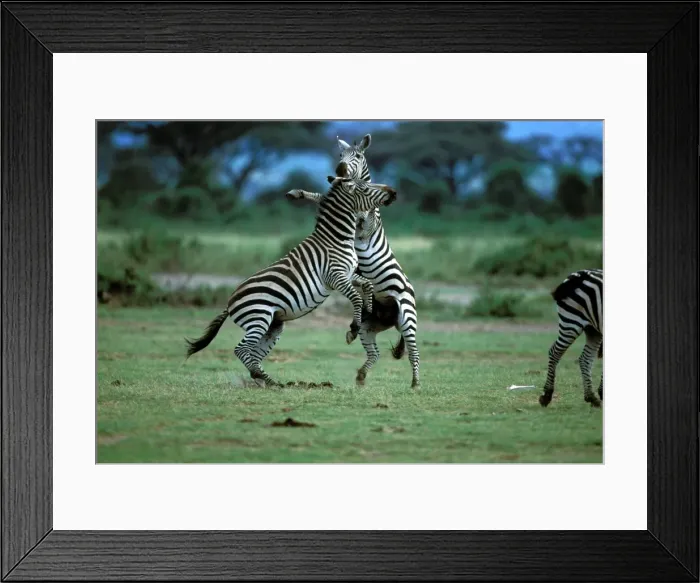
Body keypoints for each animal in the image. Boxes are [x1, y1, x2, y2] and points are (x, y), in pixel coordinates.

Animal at [184, 162, 397, 387]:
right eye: (365, 188)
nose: (394, 192)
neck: (337, 239)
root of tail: (229, 302)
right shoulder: (335, 276)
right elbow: (356, 297)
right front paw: (354, 329)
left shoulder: (347, 275)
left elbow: (367, 284)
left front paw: (369, 310)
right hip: (258, 318)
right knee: (241, 350)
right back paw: (264, 379)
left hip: (273, 325)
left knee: (254, 354)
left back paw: (267, 381)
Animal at [286, 134, 420, 388]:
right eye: (340, 155)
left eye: (357, 156)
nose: (339, 169)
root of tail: (391, 318)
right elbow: (322, 196)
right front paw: (297, 193)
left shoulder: (367, 225)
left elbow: (360, 215)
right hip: (369, 326)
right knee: (375, 353)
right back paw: (360, 374)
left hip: (407, 316)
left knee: (414, 351)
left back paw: (416, 383)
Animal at [539, 268, 603, 408]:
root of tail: (579, 274)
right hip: (571, 322)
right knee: (555, 352)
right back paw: (547, 395)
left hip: (593, 329)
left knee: (585, 358)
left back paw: (591, 397)